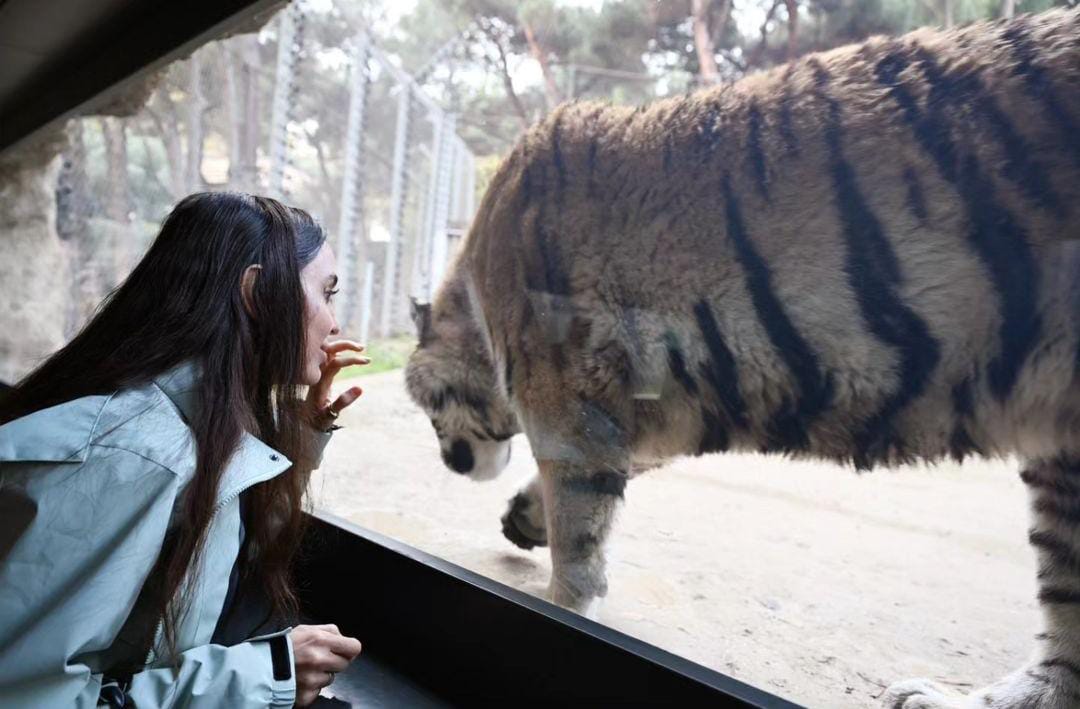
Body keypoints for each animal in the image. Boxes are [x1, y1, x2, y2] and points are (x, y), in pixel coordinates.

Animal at [406, 11, 1080, 709]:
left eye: (428, 410)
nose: (450, 463)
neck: (476, 300)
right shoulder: (644, 413)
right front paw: (524, 516)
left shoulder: (566, 405)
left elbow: (578, 535)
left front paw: (563, 605)